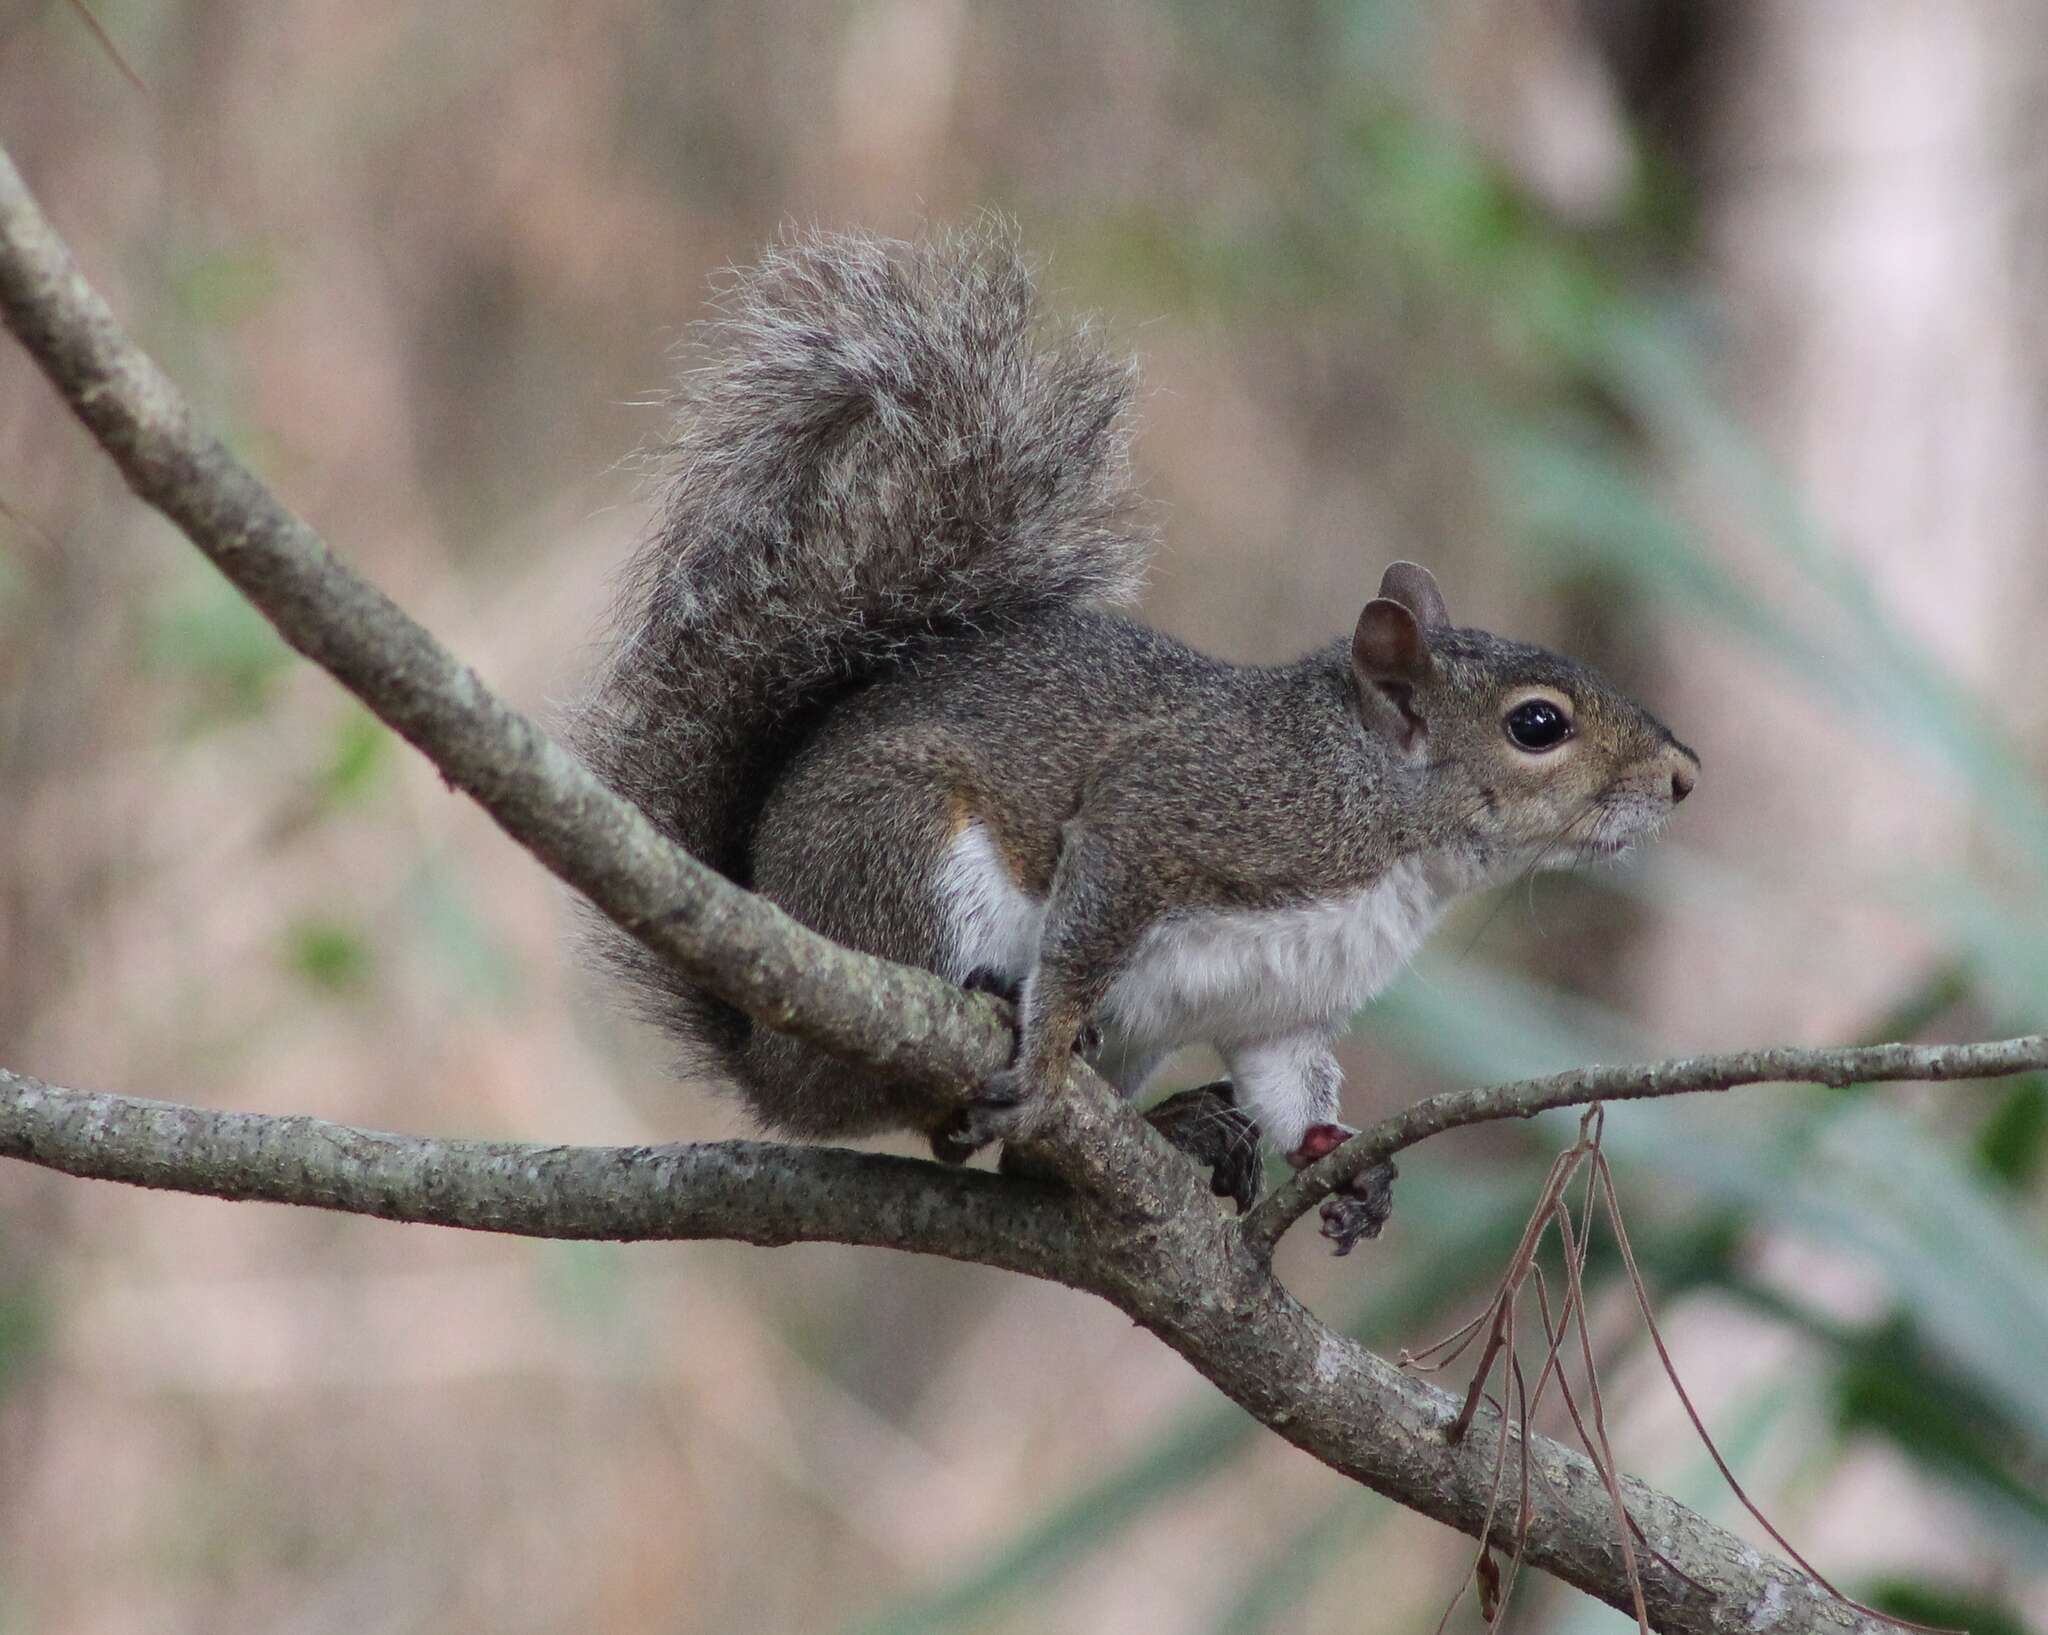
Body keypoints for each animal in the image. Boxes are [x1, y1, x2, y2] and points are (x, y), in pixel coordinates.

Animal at [577, 227, 1695, 1253]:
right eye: (1538, 724)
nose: (1683, 776)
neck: (1389, 831)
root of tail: (764, 1060)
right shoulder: (1176, 813)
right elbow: (1088, 920)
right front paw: (1042, 1056)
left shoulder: (1285, 1010)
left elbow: (1291, 1087)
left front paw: (1345, 1163)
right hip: (899, 853)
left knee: (1030, 1167)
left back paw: (1187, 1128)